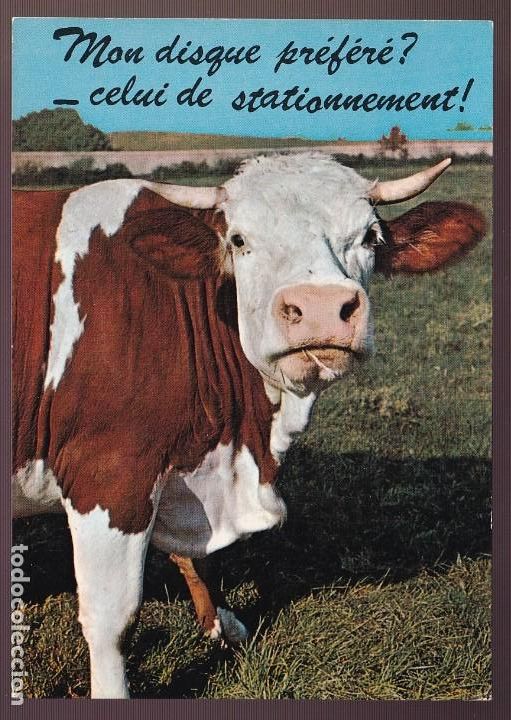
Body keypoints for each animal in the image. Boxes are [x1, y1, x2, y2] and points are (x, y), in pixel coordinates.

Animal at [12, 153, 485, 698]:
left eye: (370, 237)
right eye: (238, 240)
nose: (320, 308)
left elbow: (198, 559)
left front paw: (221, 622)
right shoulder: (108, 473)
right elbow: (113, 620)